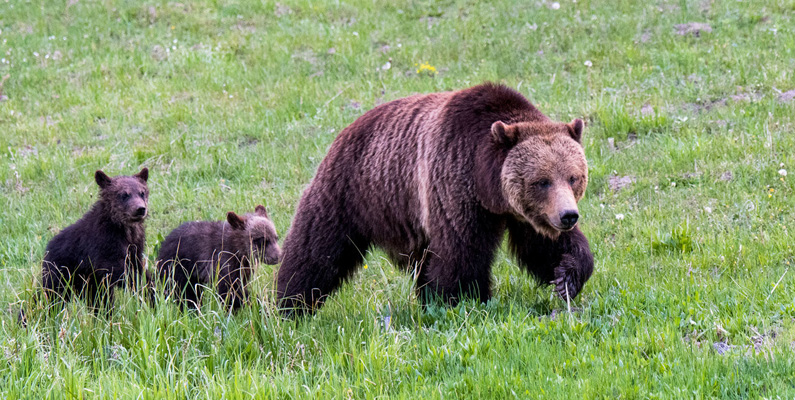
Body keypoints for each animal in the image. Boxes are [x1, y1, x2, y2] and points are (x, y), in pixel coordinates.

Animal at [276, 83, 592, 314]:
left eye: (573, 177)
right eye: (542, 181)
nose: (568, 216)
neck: (487, 185)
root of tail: (347, 128)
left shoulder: (524, 212)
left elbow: (541, 245)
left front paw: (567, 276)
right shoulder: (453, 183)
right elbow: (461, 253)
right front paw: (464, 300)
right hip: (353, 191)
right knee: (317, 250)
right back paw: (291, 305)